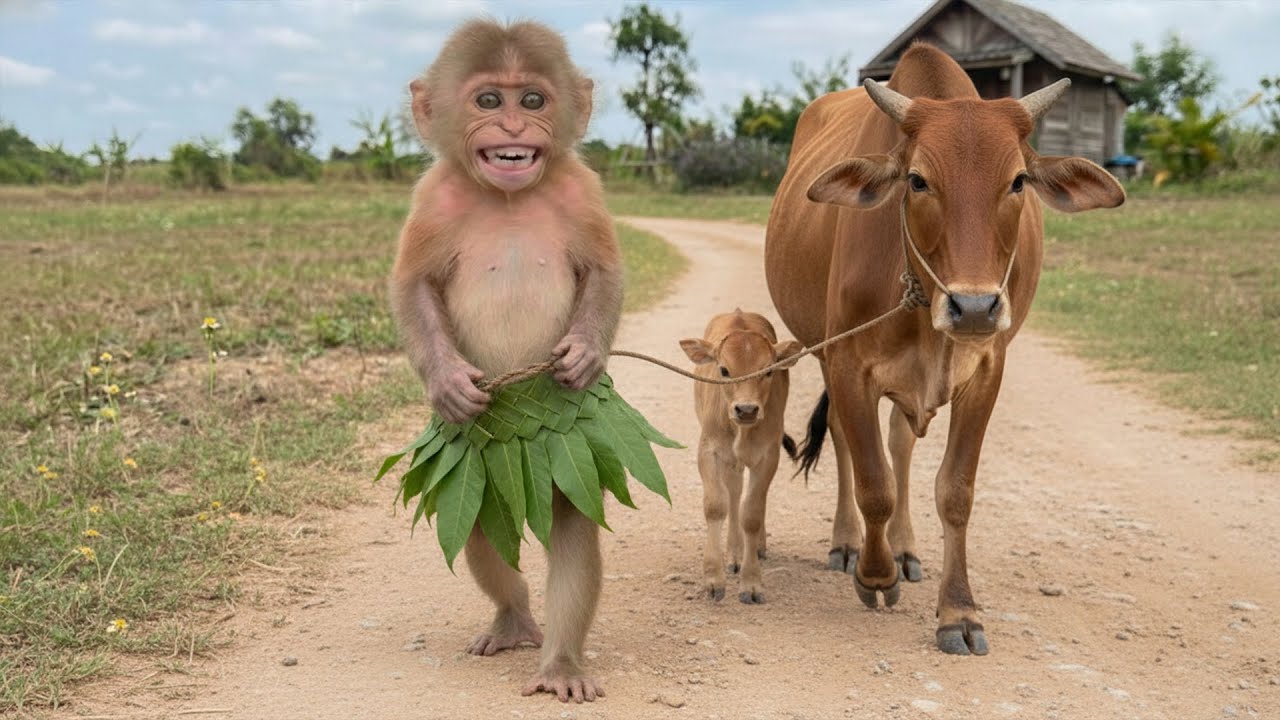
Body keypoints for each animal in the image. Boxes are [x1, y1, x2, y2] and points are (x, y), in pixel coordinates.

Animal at [389, 19, 623, 704]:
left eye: (534, 99)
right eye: (490, 100)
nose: (516, 129)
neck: (510, 195)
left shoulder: (582, 187)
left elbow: (604, 271)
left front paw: (585, 354)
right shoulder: (432, 197)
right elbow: (413, 287)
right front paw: (447, 383)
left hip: (567, 457)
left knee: (572, 528)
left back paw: (560, 663)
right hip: (477, 471)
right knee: (478, 532)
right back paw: (514, 621)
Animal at [680, 310, 803, 605]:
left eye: (768, 370)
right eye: (724, 370)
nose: (746, 409)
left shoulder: (768, 456)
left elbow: (752, 513)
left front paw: (751, 582)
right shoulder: (709, 451)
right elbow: (716, 506)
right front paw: (713, 579)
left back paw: (756, 546)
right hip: (730, 461)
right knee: (734, 494)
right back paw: (734, 553)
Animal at [764, 43, 1125, 655]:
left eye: (1018, 181)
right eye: (917, 180)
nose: (974, 308)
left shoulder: (986, 370)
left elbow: (955, 491)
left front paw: (958, 611)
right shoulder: (848, 364)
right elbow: (874, 484)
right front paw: (875, 575)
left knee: (901, 442)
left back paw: (906, 548)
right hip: (822, 352)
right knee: (846, 443)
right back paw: (849, 545)